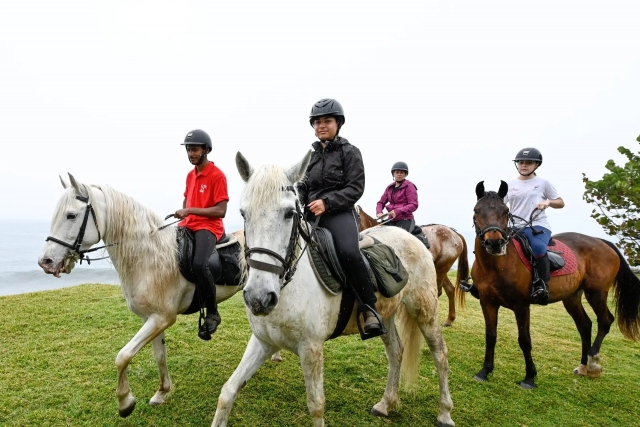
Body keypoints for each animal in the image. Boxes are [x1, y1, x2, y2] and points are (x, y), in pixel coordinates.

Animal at [37, 174, 246, 418]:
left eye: (71, 215)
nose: (46, 262)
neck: (150, 257)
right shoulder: (152, 319)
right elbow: (159, 356)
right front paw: (162, 392)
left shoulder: (162, 318)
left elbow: (123, 356)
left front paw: (125, 402)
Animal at [211, 152, 454, 427]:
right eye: (244, 213)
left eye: (289, 213)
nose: (259, 298)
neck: (289, 290)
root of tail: (413, 237)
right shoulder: (263, 342)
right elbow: (228, 392)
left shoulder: (311, 349)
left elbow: (316, 406)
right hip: (387, 314)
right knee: (396, 351)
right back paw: (385, 404)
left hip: (425, 311)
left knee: (440, 355)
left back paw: (445, 413)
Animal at [471, 180, 640, 389]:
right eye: (477, 210)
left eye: (505, 211)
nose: (495, 243)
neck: (497, 266)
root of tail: (601, 242)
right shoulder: (487, 302)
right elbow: (491, 336)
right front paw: (485, 371)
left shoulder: (521, 305)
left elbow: (524, 340)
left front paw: (530, 377)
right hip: (572, 297)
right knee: (585, 325)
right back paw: (583, 366)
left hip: (596, 292)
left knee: (605, 321)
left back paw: (593, 362)